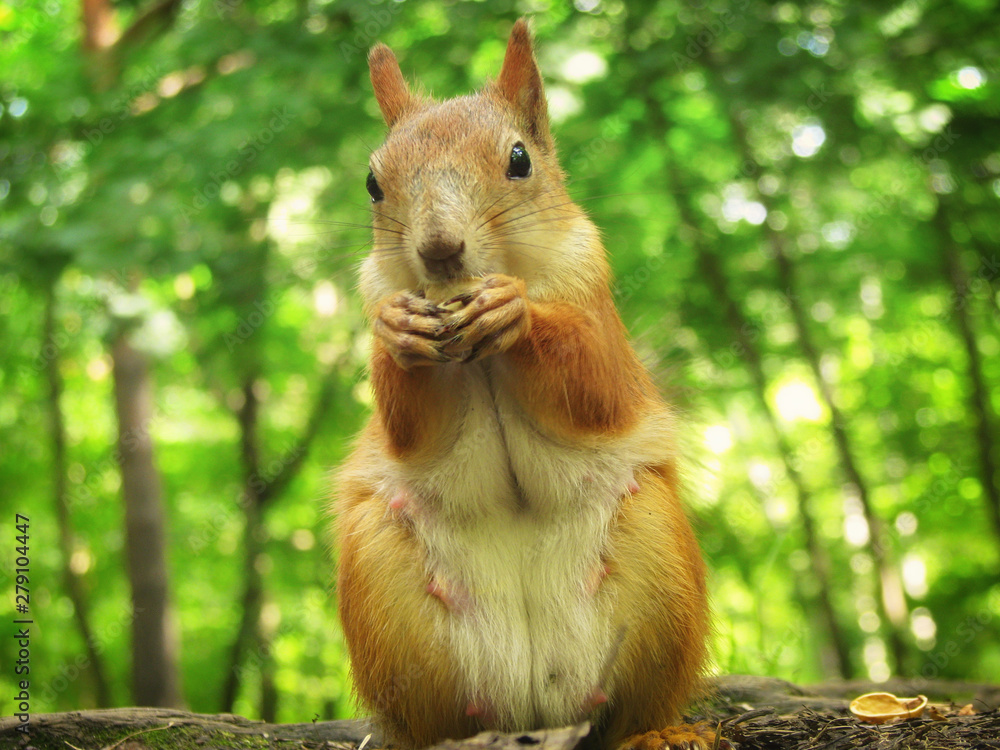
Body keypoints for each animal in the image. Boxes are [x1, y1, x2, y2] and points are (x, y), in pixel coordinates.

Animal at [334, 18, 718, 750]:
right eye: (371, 183)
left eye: (519, 159)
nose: (440, 250)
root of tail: (538, 706)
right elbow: (409, 427)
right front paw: (398, 332)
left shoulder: (595, 306)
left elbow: (593, 383)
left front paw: (516, 313)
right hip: (384, 586)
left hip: (656, 553)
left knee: (634, 710)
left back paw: (658, 733)